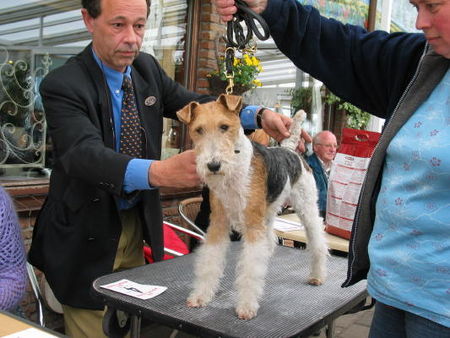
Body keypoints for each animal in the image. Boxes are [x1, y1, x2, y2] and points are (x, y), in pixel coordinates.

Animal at [176, 94, 326, 320]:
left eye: (224, 127)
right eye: (198, 130)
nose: (213, 166)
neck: (235, 167)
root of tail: (290, 150)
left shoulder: (253, 224)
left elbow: (249, 270)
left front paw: (246, 307)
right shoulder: (219, 223)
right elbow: (210, 262)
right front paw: (200, 296)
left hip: (306, 207)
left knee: (317, 240)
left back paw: (317, 276)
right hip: (269, 211)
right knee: (271, 238)